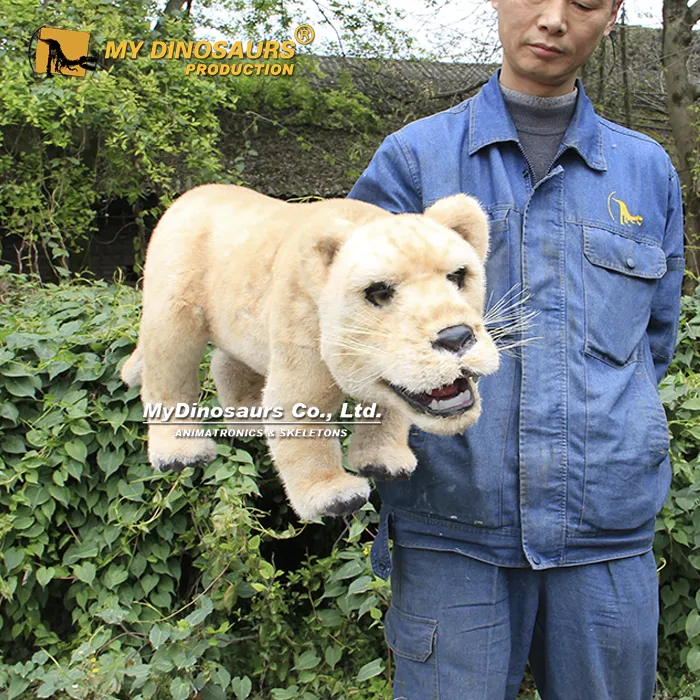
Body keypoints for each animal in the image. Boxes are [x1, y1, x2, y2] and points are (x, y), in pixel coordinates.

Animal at [120, 184, 501, 520]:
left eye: (458, 276)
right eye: (378, 291)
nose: (456, 337)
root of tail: (186, 197)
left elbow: (389, 408)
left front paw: (384, 462)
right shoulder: (301, 350)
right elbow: (304, 425)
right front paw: (333, 496)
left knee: (226, 362)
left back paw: (249, 419)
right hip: (174, 308)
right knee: (167, 370)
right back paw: (180, 453)